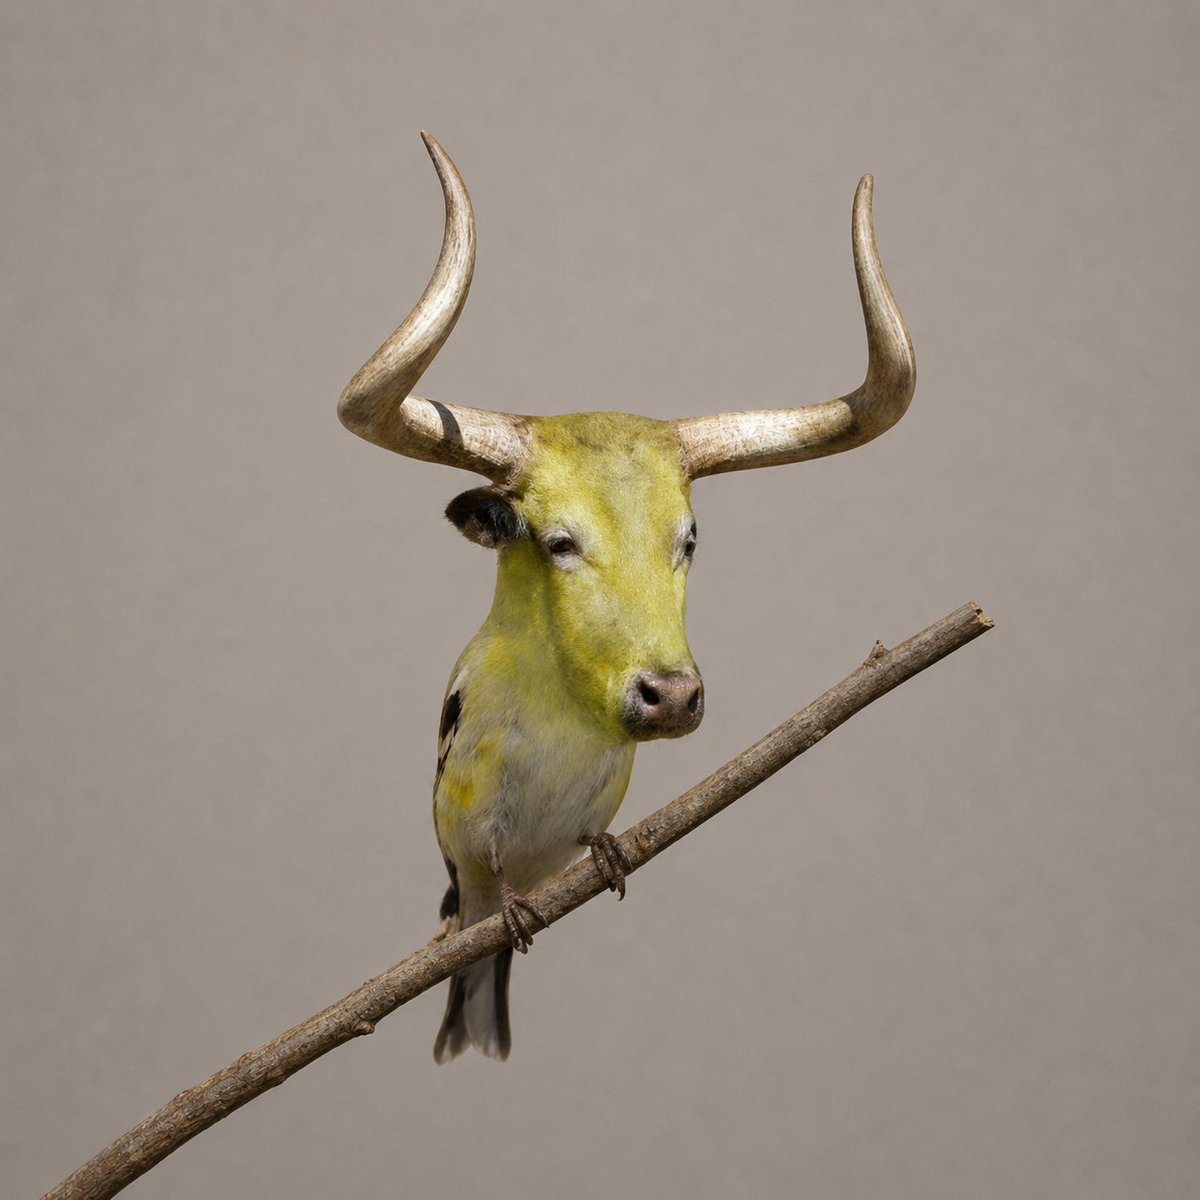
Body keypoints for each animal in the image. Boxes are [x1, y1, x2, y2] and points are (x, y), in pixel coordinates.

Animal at [337, 134, 915, 1061]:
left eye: (689, 539)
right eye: (559, 541)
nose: (670, 696)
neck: (560, 701)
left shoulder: (598, 788)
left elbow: (592, 833)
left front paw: (610, 855)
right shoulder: (474, 791)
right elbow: (492, 859)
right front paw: (515, 908)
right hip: (459, 870)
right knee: (477, 900)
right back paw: (505, 918)